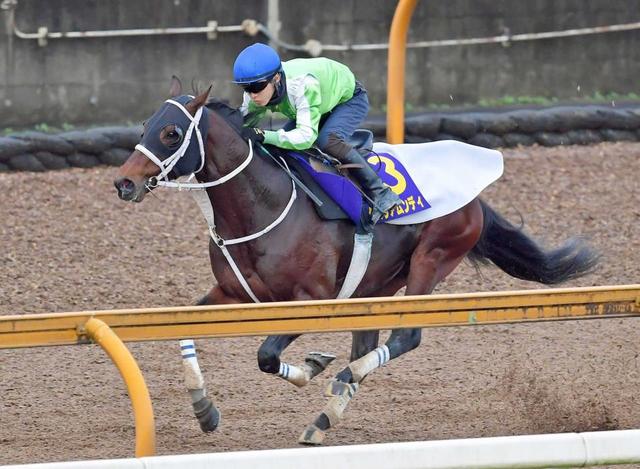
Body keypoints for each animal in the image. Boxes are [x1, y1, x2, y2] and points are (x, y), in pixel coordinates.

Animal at [115, 78, 600, 444]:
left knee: (405, 337)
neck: (263, 204)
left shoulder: (309, 301)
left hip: (431, 260)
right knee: (369, 344)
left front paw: (312, 366)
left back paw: (342, 380)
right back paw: (325, 415)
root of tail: (477, 198)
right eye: (144, 126)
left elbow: (267, 357)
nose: (124, 182)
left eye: (171, 133)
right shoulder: (233, 294)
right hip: (375, 285)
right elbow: (184, 330)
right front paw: (204, 409)